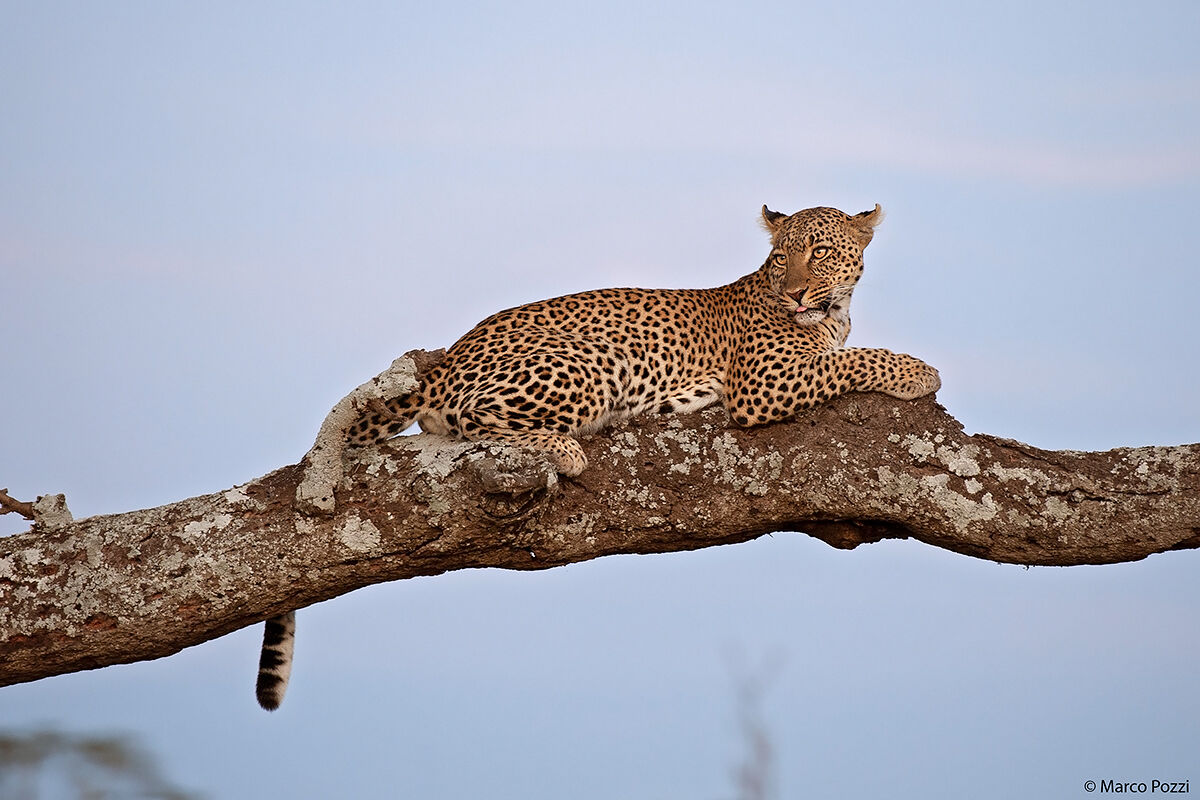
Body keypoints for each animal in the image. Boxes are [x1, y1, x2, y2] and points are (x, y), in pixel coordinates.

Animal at [255, 202, 941, 710]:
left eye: (819, 251)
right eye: (781, 258)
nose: (796, 292)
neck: (833, 312)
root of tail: (445, 360)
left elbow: (845, 354)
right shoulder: (763, 383)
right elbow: (851, 360)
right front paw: (917, 372)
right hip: (588, 359)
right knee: (474, 420)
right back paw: (565, 448)